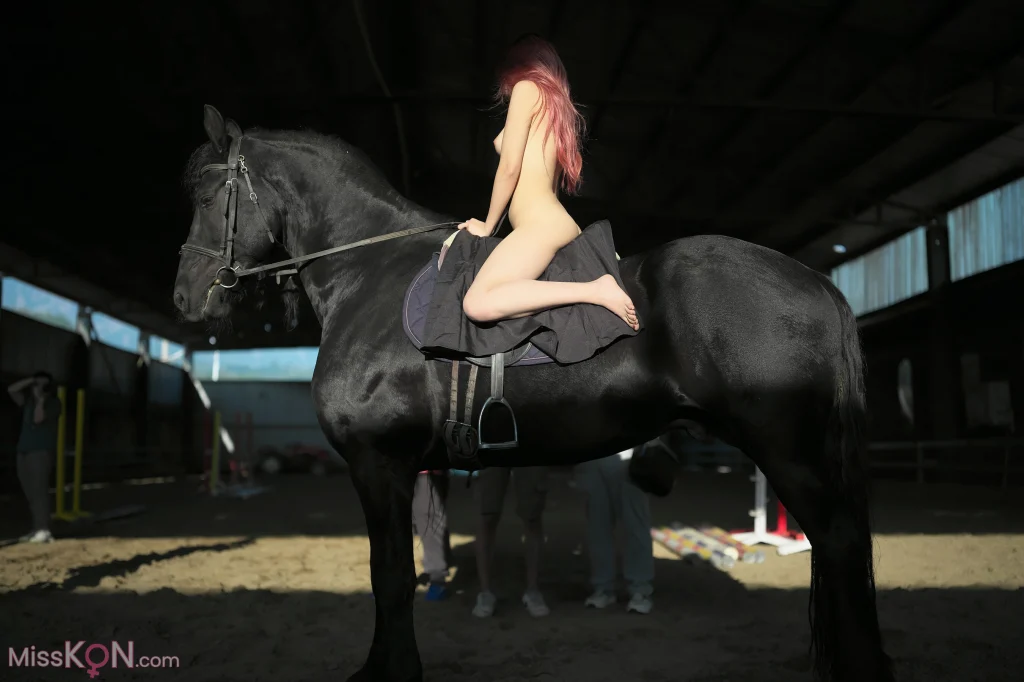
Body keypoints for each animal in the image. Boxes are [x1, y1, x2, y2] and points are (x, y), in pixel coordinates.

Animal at [172, 105, 894, 682]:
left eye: (206, 197)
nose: (186, 297)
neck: (368, 276)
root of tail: (816, 281)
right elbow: (396, 575)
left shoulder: (379, 464)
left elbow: (390, 577)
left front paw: (390, 672)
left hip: (791, 454)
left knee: (839, 547)